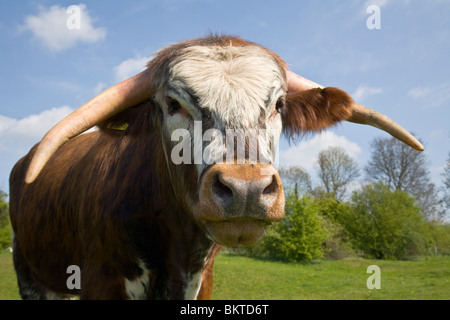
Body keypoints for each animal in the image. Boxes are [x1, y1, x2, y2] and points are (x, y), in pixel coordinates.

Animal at [8, 35, 422, 300]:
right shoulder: (102, 279)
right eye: (173, 104)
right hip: (30, 273)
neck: (179, 259)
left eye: (279, 104)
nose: (246, 188)